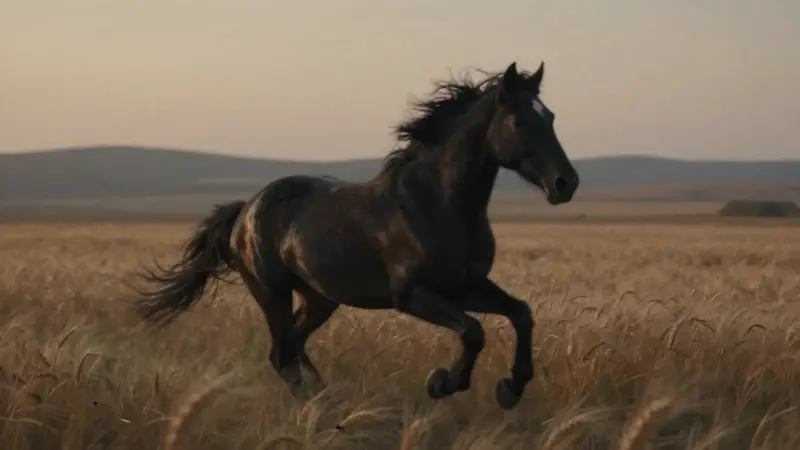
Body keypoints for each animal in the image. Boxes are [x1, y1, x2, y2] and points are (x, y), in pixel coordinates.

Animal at [133, 61, 579, 410]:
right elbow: (473, 331)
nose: (566, 183)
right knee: (283, 356)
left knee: (290, 350)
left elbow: (520, 312)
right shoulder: (412, 295)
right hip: (271, 291)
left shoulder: (466, 285)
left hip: (319, 298)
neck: (439, 203)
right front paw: (442, 383)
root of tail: (245, 210)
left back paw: (330, 404)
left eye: (552, 117)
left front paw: (511, 387)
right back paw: (324, 413)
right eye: (519, 120)